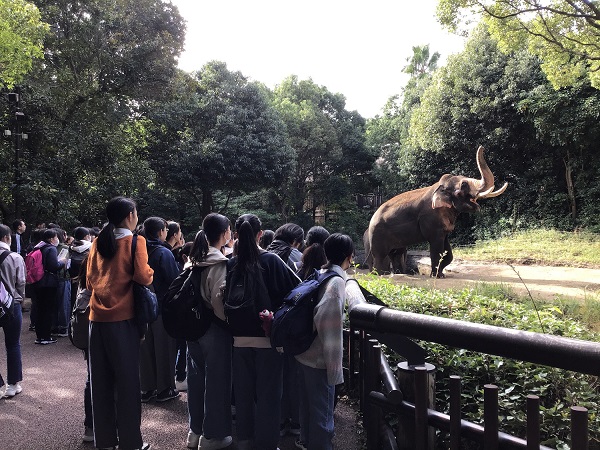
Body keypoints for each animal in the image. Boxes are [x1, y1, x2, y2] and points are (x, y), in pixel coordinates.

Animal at [366, 146, 506, 276]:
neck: (440, 188)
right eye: (462, 187)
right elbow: (436, 246)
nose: (483, 147)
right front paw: (437, 276)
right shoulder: (431, 219)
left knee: (396, 253)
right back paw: (379, 275)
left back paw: (397, 274)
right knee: (380, 256)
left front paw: (441, 274)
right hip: (378, 235)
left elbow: (448, 251)